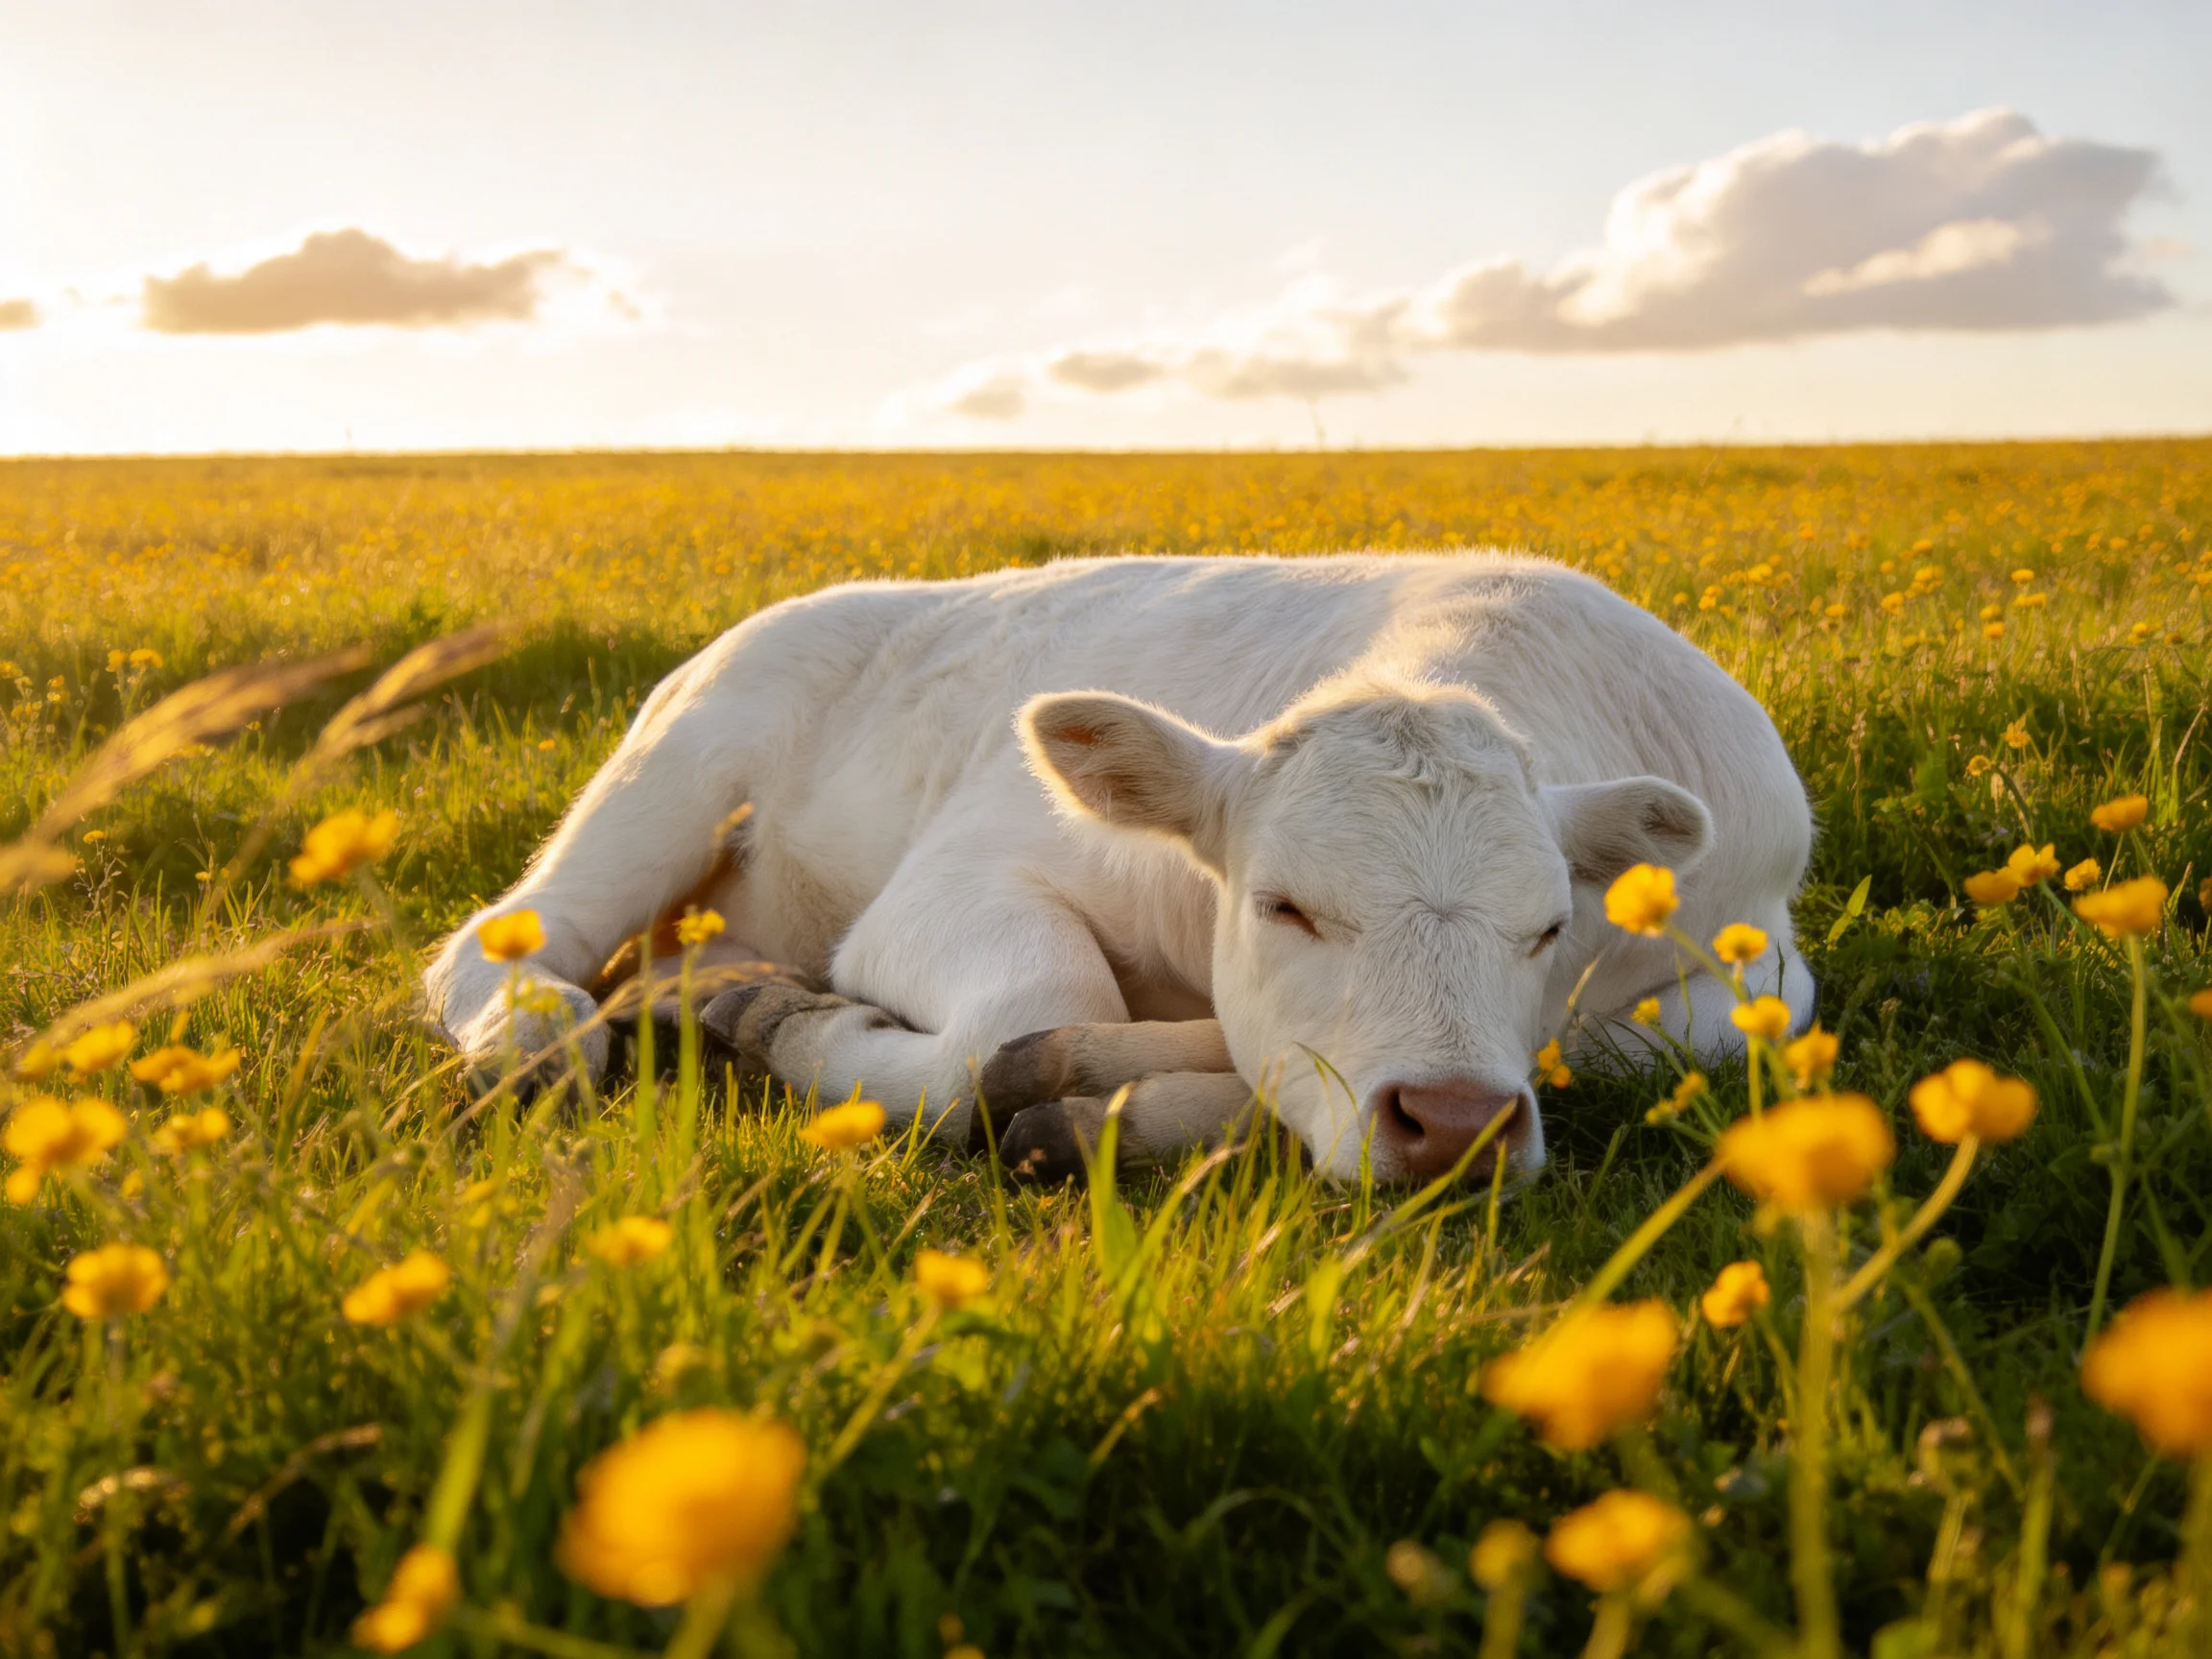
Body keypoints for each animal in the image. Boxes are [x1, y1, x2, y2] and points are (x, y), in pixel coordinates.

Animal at [423, 552, 1814, 1184]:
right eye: (1283, 908)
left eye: (1545, 929)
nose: (1457, 1127)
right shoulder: (954, 884)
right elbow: (1028, 1021)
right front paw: (809, 1029)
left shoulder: (1763, 960)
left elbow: (1666, 1041)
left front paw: (1135, 1098)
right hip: (681, 763)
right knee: (504, 935)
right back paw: (540, 1036)